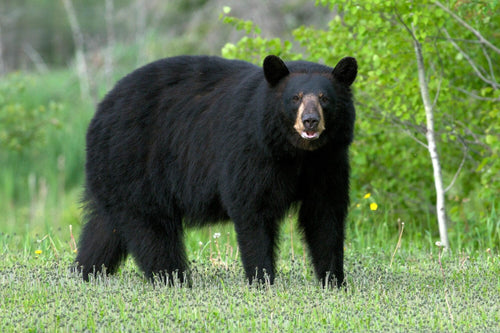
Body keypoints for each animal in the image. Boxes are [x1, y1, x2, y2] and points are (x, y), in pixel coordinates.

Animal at [74, 53, 358, 286]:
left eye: (324, 98)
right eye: (295, 98)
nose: (310, 121)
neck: (296, 153)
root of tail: (99, 112)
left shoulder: (328, 162)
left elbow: (325, 215)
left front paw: (334, 280)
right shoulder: (251, 152)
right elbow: (253, 210)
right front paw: (262, 279)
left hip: (114, 176)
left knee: (104, 229)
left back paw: (85, 272)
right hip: (136, 164)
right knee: (152, 231)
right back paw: (174, 280)